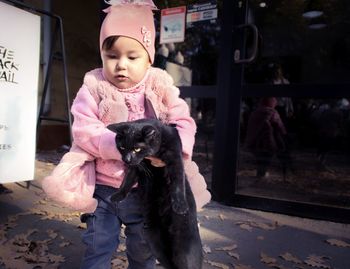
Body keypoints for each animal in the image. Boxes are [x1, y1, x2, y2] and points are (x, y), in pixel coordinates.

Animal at [108, 119, 204, 268]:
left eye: (137, 149)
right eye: (122, 147)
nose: (126, 159)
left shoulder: (175, 159)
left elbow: (177, 182)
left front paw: (180, 205)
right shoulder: (137, 165)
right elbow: (127, 180)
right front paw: (118, 195)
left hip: (185, 248)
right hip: (155, 242)